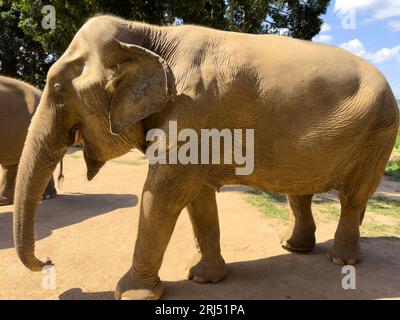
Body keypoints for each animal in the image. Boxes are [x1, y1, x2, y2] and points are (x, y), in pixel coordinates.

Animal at [13, 15, 400, 300]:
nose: (48, 261)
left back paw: (342, 260)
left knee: (353, 195)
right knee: (299, 192)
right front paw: (203, 279)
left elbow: (164, 192)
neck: (150, 34)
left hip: (380, 129)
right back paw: (293, 248)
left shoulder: (194, 108)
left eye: (59, 90)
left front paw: (131, 293)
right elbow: (196, 196)